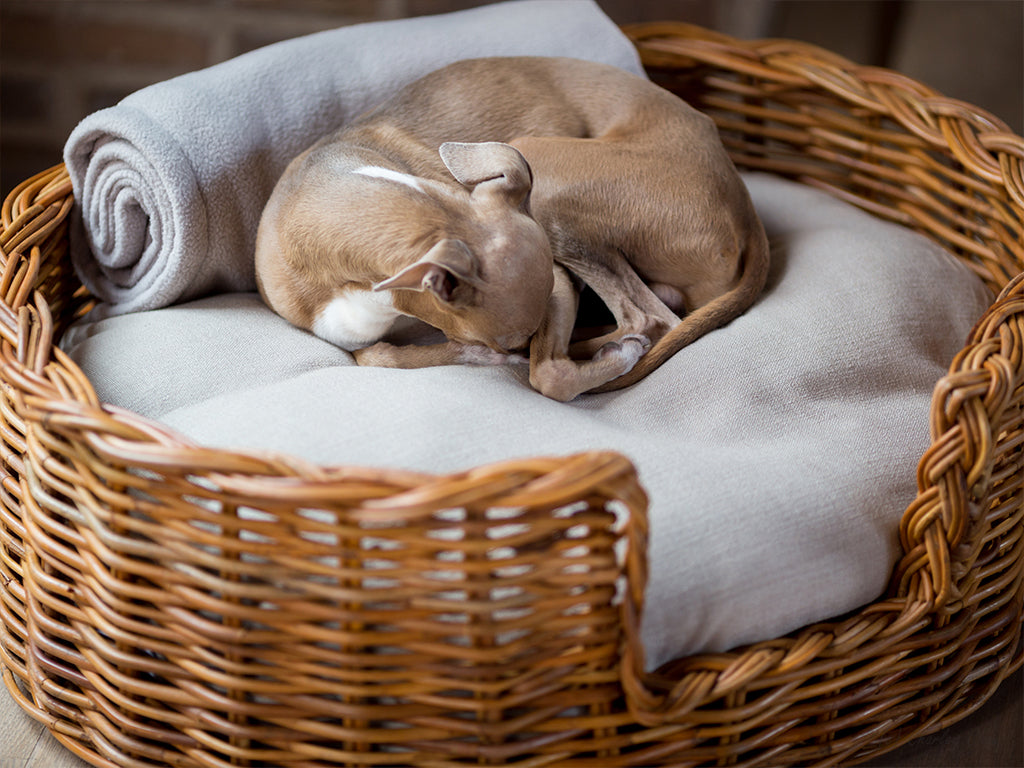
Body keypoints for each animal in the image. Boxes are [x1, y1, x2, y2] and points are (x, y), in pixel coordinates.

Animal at [253, 56, 770, 403]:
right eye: (505, 339)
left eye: (524, 332)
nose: (521, 349)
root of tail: (745, 207)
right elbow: (377, 354)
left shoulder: (557, 281)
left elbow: (551, 376)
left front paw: (598, 360)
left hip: (545, 172)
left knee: (653, 319)